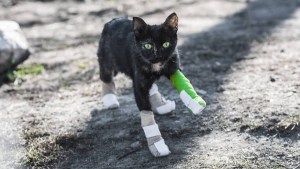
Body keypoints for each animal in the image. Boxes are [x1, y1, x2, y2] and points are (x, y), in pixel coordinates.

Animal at [97, 12, 179, 156]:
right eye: (148, 46)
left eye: (166, 44)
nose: (157, 56)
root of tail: (112, 20)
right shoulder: (138, 86)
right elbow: (146, 113)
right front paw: (157, 144)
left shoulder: (173, 67)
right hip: (106, 60)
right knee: (105, 77)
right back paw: (110, 99)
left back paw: (161, 104)